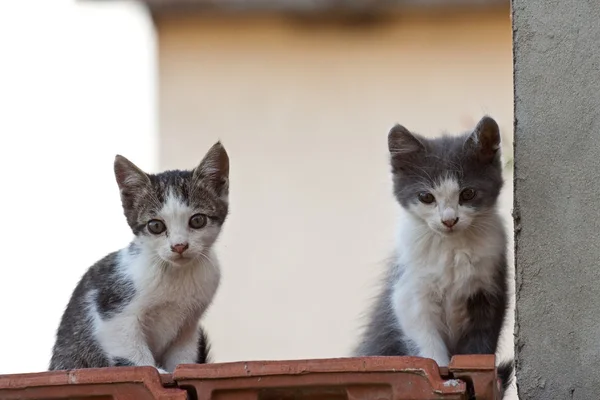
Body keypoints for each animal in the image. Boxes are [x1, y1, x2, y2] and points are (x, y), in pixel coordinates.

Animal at [50, 141, 229, 372]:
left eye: (197, 220)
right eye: (155, 226)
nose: (179, 246)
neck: (176, 274)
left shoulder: (188, 327)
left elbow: (183, 358)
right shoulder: (111, 311)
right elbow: (134, 355)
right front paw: (156, 370)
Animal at [354, 116, 512, 396]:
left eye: (467, 194)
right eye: (426, 197)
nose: (449, 220)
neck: (451, 248)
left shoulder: (489, 290)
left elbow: (479, 346)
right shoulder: (410, 293)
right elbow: (428, 348)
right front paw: (444, 380)